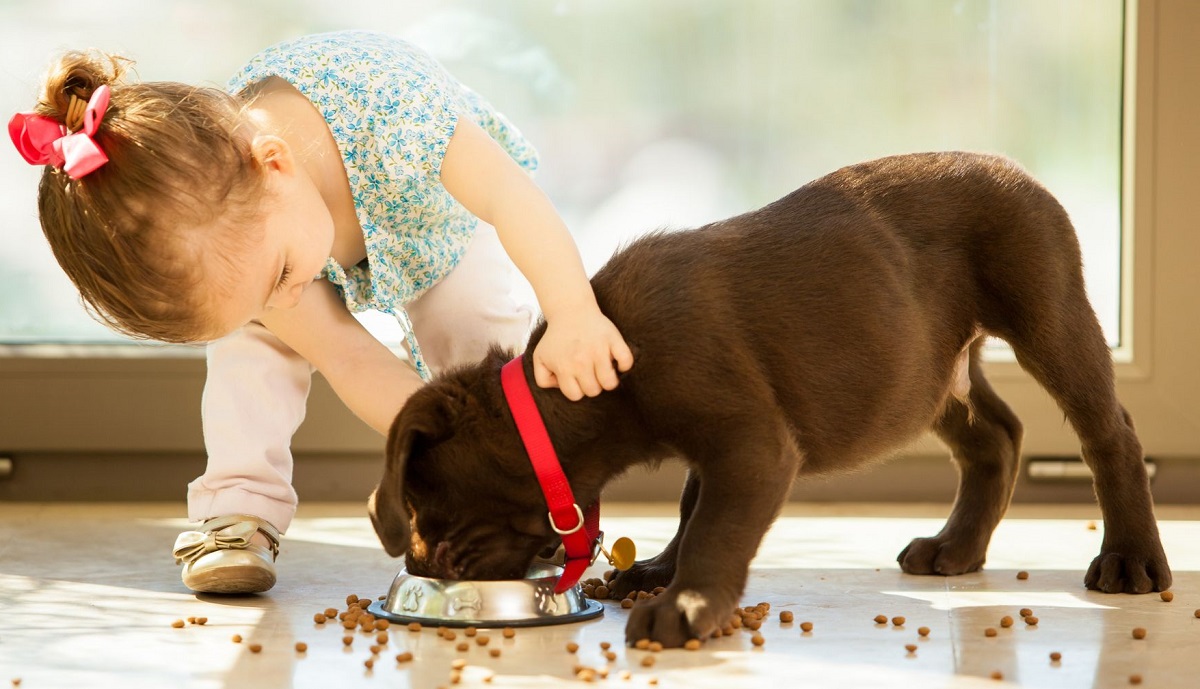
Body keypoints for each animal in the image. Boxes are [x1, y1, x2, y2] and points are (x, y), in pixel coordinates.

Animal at [367, 151, 1171, 648]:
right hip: (926, 371)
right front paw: (660, 573)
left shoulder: (749, 442)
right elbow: (692, 507)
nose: (426, 565)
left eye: (429, 511)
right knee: (996, 435)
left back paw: (1130, 559)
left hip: (1048, 312)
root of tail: (1015, 168)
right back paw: (957, 547)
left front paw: (684, 606)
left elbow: (716, 526)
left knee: (1111, 433)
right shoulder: (722, 444)